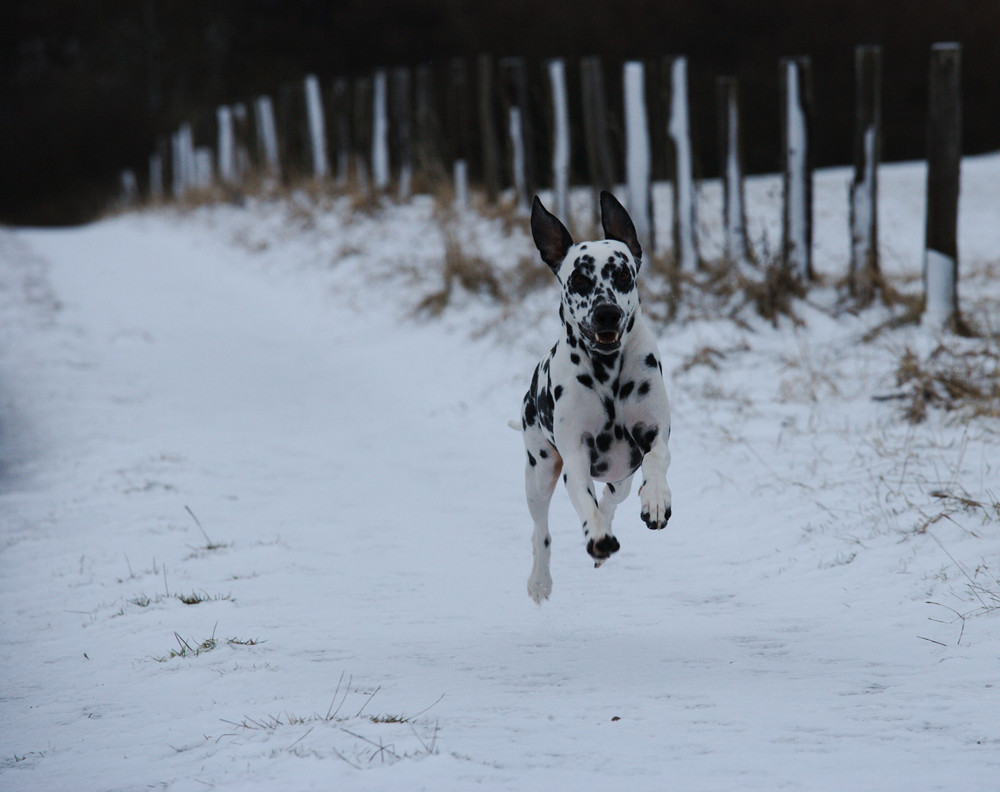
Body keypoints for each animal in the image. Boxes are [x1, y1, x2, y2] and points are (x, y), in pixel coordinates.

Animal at [516, 195, 672, 604]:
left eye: (623, 276)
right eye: (581, 280)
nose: (607, 313)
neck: (608, 371)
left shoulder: (655, 436)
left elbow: (655, 460)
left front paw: (656, 500)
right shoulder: (575, 458)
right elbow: (584, 502)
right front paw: (598, 536)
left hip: (619, 477)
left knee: (613, 497)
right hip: (539, 473)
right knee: (540, 531)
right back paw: (540, 580)